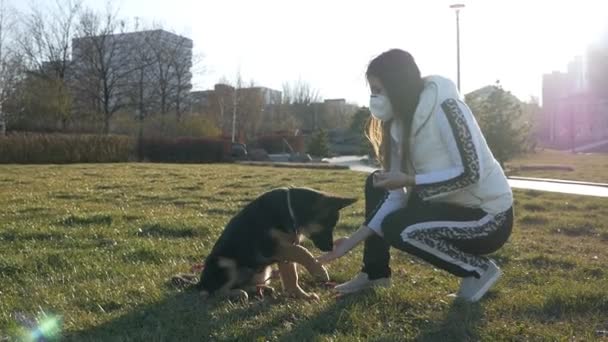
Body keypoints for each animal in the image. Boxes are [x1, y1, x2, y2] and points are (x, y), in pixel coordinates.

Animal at [195, 186, 356, 300]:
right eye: (329, 226)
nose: (331, 248)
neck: (290, 211)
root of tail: (199, 283)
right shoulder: (269, 248)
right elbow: (301, 252)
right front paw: (318, 270)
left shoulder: (284, 252)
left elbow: (292, 275)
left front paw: (301, 295)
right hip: (224, 263)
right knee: (214, 292)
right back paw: (238, 294)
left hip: (263, 272)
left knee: (242, 284)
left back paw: (258, 289)